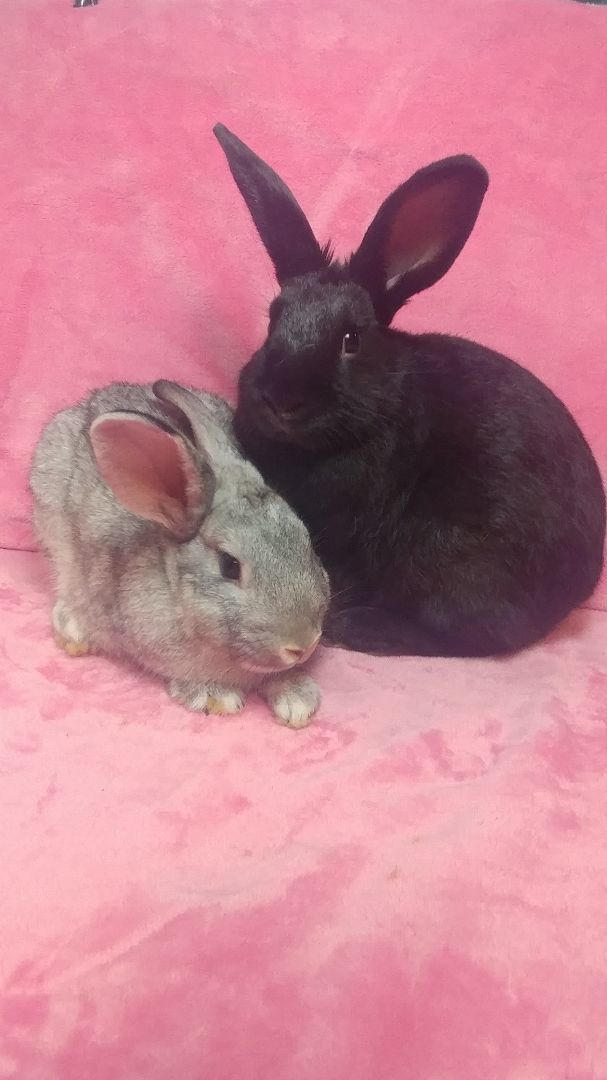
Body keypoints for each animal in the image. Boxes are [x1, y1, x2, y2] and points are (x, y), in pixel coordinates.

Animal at [213, 123, 606, 657]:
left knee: (476, 636)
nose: (280, 397)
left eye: (351, 339)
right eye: (273, 320)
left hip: (449, 554)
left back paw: (358, 626)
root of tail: (580, 587)